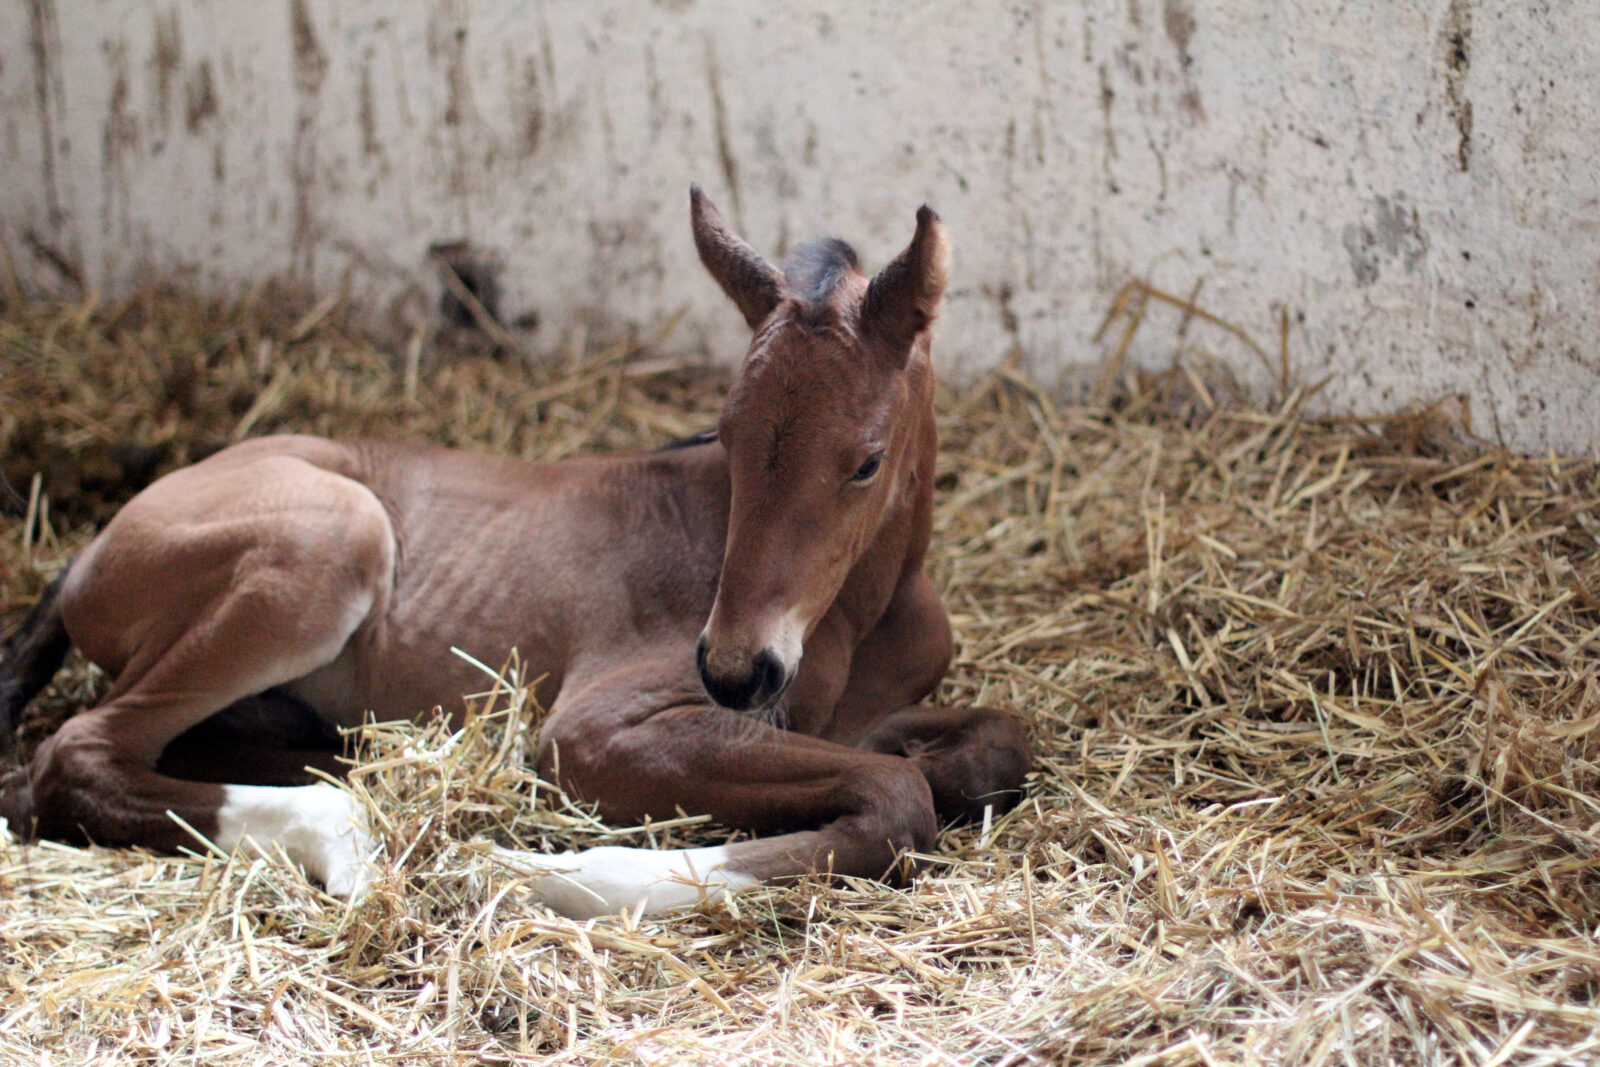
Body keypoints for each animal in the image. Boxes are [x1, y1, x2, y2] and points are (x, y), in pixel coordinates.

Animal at [0, 189, 1030, 921]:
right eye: (728, 437)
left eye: (865, 461)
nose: (736, 672)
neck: (862, 611)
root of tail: (89, 548)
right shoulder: (598, 726)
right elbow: (895, 797)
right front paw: (553, 875)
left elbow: (993, 744)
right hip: (331, 537)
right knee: (77, 754)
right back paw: (346, 835)